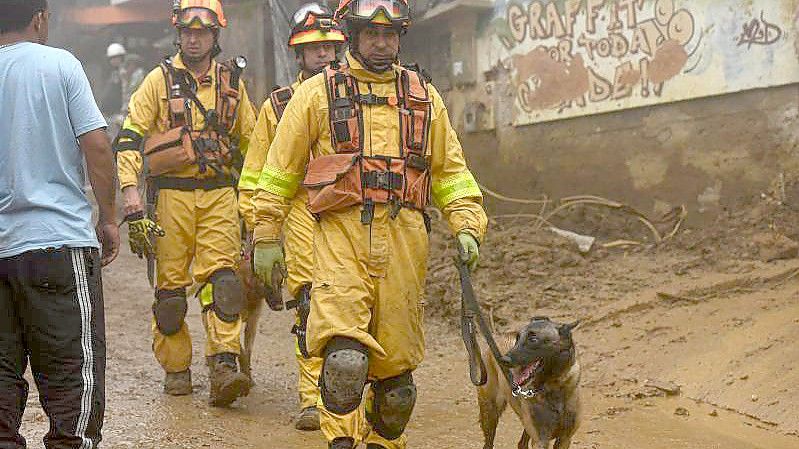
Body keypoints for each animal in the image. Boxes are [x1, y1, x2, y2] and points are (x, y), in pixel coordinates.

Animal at [476, 316, 580, 446]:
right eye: (517, 339)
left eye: (533, 339)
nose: (503, 360)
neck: (553, 385)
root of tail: (498, 335)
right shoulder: (540, 440)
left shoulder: (565, 438)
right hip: (490, 412)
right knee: (489, 442)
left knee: (521, 443)